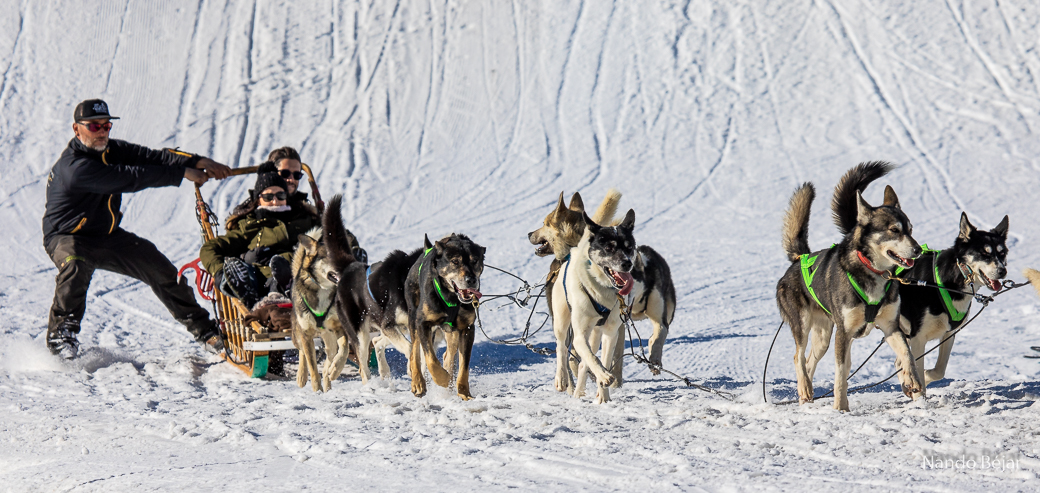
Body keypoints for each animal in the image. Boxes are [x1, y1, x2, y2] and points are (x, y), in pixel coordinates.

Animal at [290, 226, 358, 392]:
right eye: (329, 255)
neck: (323, 289)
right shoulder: (306, 333)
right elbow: (312, 365)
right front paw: (317, 390)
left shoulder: (339, 327)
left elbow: (344, 350)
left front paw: (335, 370)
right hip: (298, 333)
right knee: (302, 352)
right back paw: (302, 376)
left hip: (329, 339)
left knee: (329, 358)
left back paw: (329, 375)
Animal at [404, 233, 485, 400]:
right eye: (455, 261)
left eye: (475, 260)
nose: (471, 280)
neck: (452, 298)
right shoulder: (423, 323)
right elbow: (431, 360)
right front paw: (443, 379)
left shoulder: (467, 329)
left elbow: (464, 366)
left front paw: (463, 392)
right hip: (413, 319)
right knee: (415, 353)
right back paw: (418, 383)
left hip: (452, 332)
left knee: (448, 355)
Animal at [530, 190, 675, 389]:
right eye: (608, 248)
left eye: (545, 223)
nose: (529, 233)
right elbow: (582, 356)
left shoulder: (647, 321)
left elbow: (657, 337)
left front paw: (652, 360)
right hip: (564, 322)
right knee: (563, 350)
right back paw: (565, 379)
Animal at [776, 161, 923, 411]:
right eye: (894, 230)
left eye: (911, 229)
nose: (918, 249)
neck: (872, 271)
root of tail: (799, 258)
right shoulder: (843, 333)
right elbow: (840, 375)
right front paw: (840, 408)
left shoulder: (891, 327)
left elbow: (907, 353)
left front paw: (912, 380)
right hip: (804, 325)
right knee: (798, 357)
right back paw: (805, 389)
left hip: (824, 337)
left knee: (809, 361)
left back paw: (807, 396)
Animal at [897, 213, 1008, 398]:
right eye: (984, 253)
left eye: (1002, 253)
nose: (1003, 271)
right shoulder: (918, 337)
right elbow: (918, 370)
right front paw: (920, 401)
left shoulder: (949, 333)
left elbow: (939, 371)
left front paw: (924, 377)